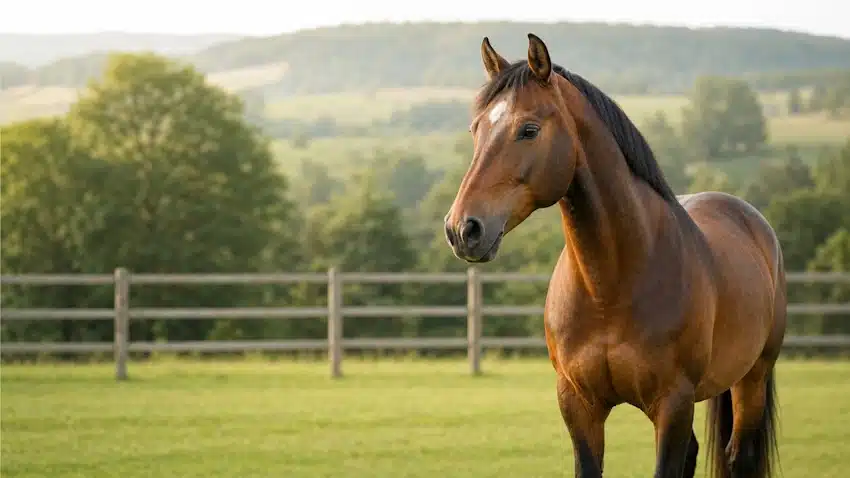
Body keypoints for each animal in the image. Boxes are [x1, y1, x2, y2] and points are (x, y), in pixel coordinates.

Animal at [443, 34, 786, 478]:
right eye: (476, 129)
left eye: (528, 130)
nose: (462, 228)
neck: (610, 285)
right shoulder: (579, 405)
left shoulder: (673, 405)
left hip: (752, 379)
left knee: (738, 456)